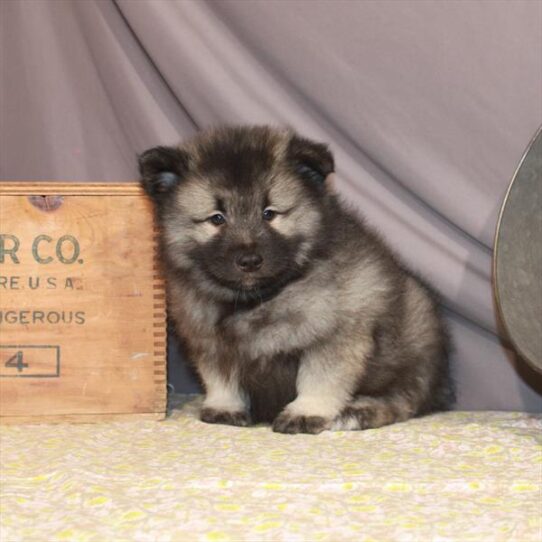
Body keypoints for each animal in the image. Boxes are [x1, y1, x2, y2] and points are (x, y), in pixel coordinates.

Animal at [140, 125, 454, 436]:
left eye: (269, 214)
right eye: (217, 218)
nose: (249, 261)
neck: (259, 300)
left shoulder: (336, 334)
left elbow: (320, 378)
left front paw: (305, 412)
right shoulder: (209, 343)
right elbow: (220, 379)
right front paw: (225, 408)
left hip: (414, 342)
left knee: (402, 399)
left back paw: (356, 412)